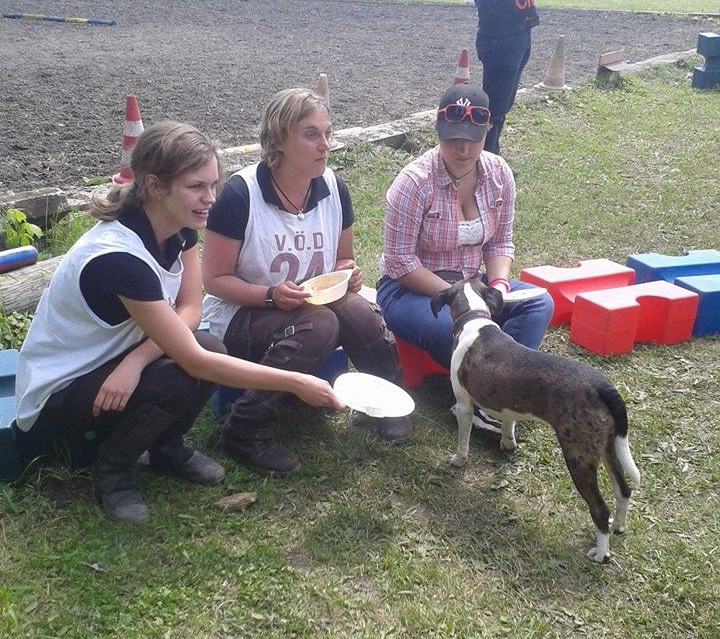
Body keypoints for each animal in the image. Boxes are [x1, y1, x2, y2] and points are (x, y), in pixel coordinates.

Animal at [430, 278, 641, 563]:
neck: (475, 319)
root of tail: (603, 385)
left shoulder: (464, 405)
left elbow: (463, 439)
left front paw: (458, 460)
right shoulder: (507, 405)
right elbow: (508, 423)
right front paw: (507, 444)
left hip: (579, 456)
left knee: (599, 507)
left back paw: (601, 553)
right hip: (609, 446)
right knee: (623, 490)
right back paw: (618, 526)